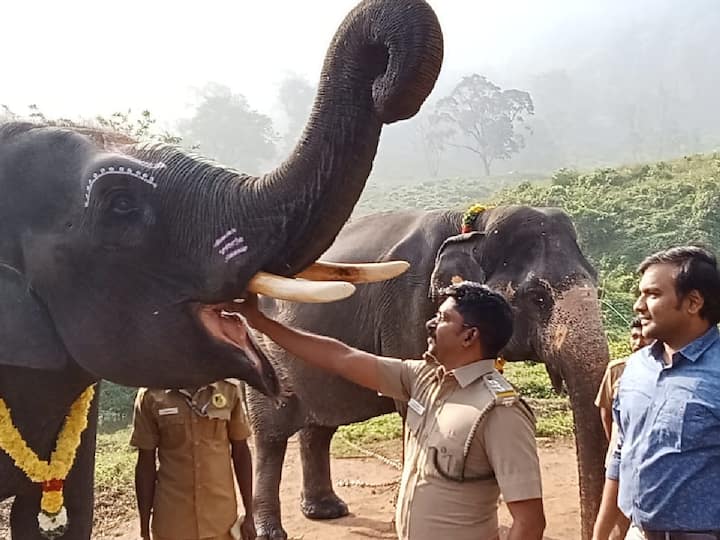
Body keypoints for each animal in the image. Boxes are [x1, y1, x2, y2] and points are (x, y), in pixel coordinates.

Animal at [246, 205, 608, 540]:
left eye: (598, 287)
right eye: (538, 297)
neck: (477, 224)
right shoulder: (406, 306)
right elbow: (407, 410)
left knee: (319, 428)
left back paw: (327, 511)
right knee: (271, 436)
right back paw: (272, 531)